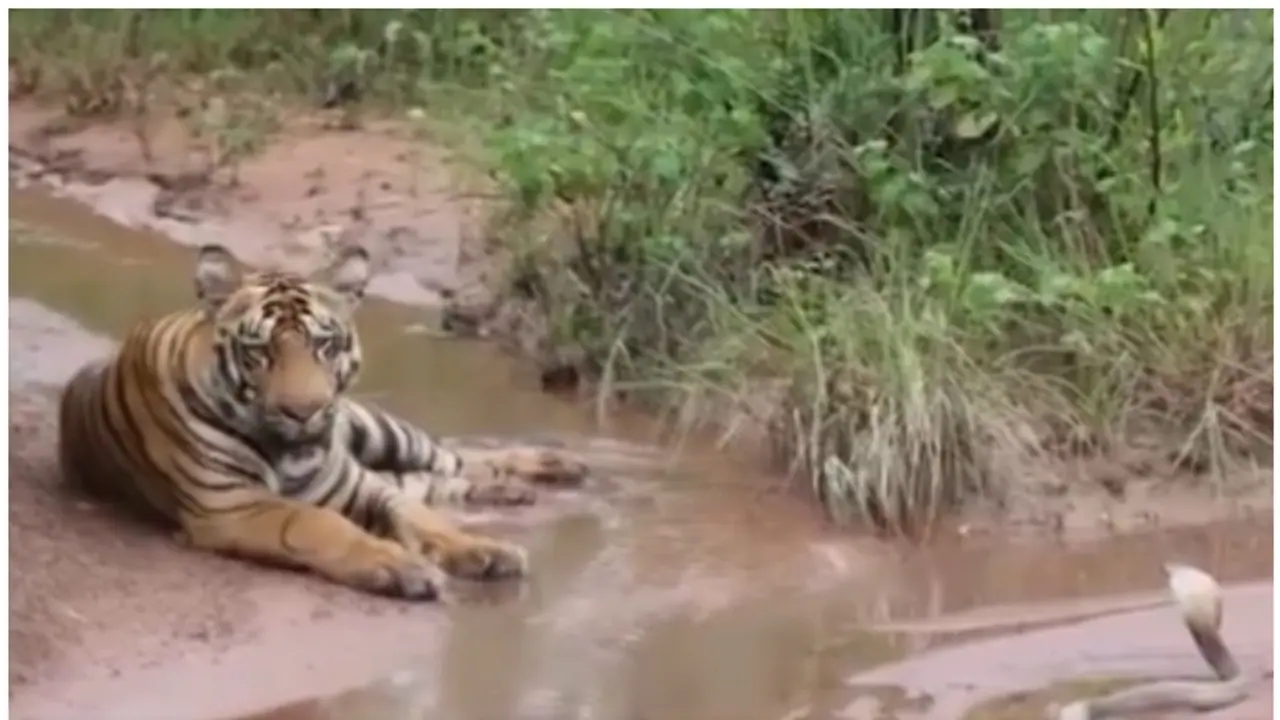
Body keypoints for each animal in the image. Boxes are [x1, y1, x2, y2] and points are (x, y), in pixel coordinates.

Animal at [56, 242, 587, 600]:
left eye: (323, 345)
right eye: (260, 351)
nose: (305, 410)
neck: (292, 453)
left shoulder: (359, 485)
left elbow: (421, 518)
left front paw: (484, 549)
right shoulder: (231, 504)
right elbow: (320, 523)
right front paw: (403, 567)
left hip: (381, 431)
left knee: (451, 456)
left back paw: (554, 466)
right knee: (436, 476)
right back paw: (513, 489)